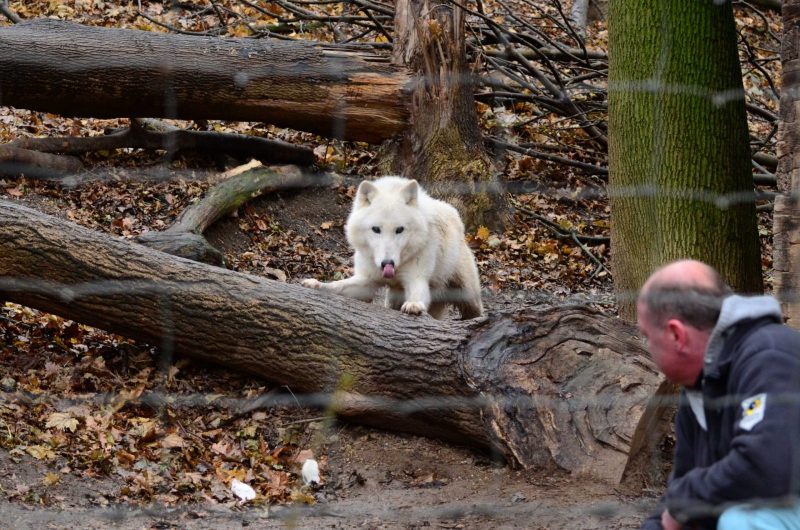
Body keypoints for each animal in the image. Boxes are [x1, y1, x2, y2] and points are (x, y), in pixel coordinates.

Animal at [304, 176, 484, 318]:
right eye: (376, 229)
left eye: (399, 230)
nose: (387, 263)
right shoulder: (366, 281)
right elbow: (337, 285)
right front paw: (316, 284)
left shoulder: (416, 279)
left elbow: (417, 295)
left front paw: (414, 305)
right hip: (393, 299)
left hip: (467, 294)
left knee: (476, 311)